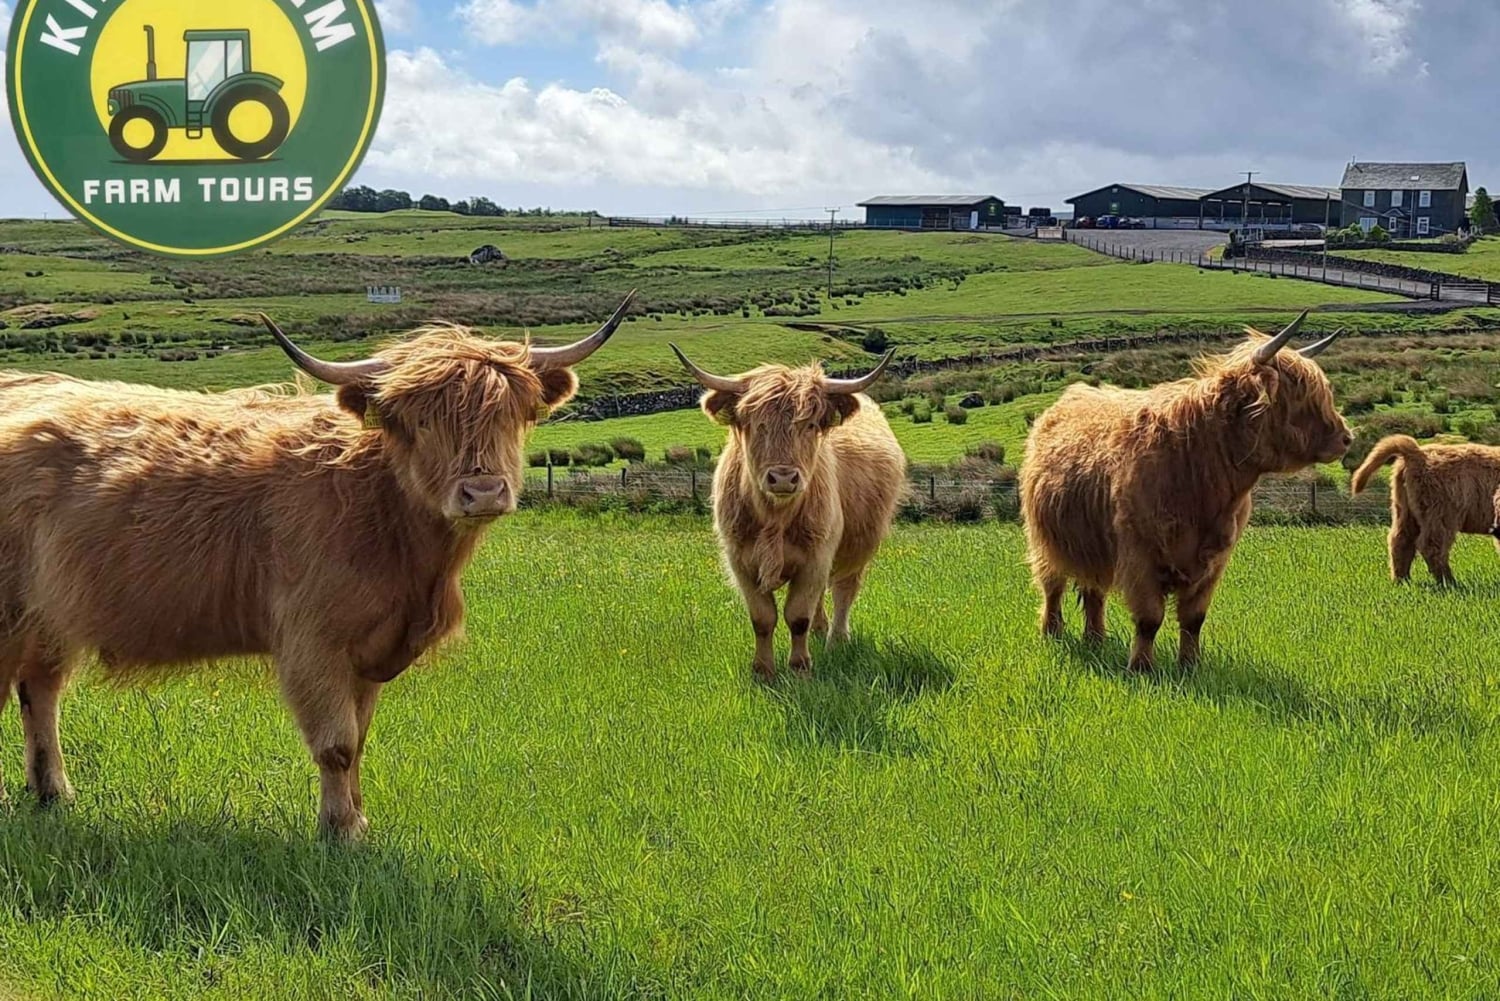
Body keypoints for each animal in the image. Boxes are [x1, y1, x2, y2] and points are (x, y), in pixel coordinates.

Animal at [0, 292, 636, 840]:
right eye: (422, 421)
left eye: (515, 414)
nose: (482, 493)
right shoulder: (313, 640)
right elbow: (337, 743)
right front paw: (341, 832)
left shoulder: (369, 651)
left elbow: (361, 738)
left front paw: (358, 818)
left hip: (47, 616)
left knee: (40, 690)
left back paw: (54, 793)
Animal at [670, 346, 905, 680]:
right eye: (756, 423)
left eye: (810, 425)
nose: (782, 478)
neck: (774, 518)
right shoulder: (740, 560)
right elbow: (762, 617)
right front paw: (763, 670)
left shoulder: (815, 558)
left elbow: (797, 616)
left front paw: (800, 667)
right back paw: (821, 630)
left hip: (859, 547)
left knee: (844, 590)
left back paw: (836, 640)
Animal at [1019, 312, 1351, 672]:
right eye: (1299, 394)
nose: (1346, 438)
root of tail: (1071, 395)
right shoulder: (1140, 554)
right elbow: (1149, 619)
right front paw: (1142, 668)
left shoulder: (1214, 561)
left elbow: (1194, 619)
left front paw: (1190, 666)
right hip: (1045, 538)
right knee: (1051, 585)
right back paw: (1052, 632)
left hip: (1093, 545)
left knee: (1093, 590)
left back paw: (1095, 639)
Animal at [1349, 436, 1500, 586]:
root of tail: (1417, 453)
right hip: (1441, 508)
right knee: (1432, 544)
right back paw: (1449, 582)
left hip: (1404, 505)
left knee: (1401, 540)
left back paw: (1402, 580)